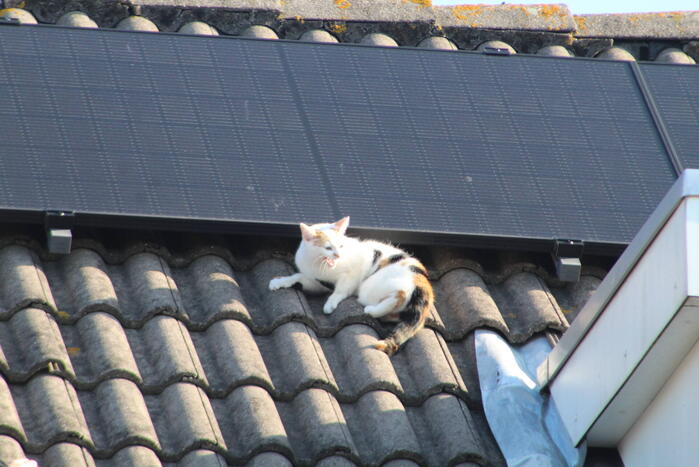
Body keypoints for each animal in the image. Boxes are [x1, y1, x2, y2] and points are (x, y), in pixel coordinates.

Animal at [270, 218, 434, 356]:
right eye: (328, 248)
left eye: (341, 246)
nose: (338, 255)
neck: (318, 265)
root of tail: (423, 285)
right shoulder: (317, 282)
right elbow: (298, 277)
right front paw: (279, 282)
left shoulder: (352, 273)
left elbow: (341, 289)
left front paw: (330, 303)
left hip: (372, 286)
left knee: (399, 294)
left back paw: (372, 310)